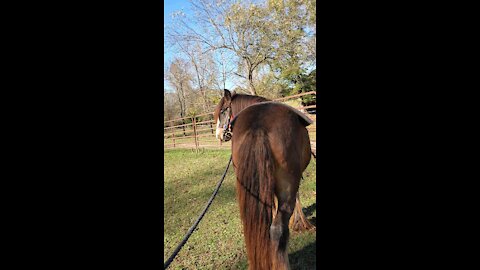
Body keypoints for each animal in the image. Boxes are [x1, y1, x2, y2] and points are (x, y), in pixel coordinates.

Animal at [215, 89, 314, 268]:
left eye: (223, 111)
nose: (218, 134)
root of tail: (258, 126)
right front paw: (299, 223)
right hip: (287, 185)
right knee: (277, 230)